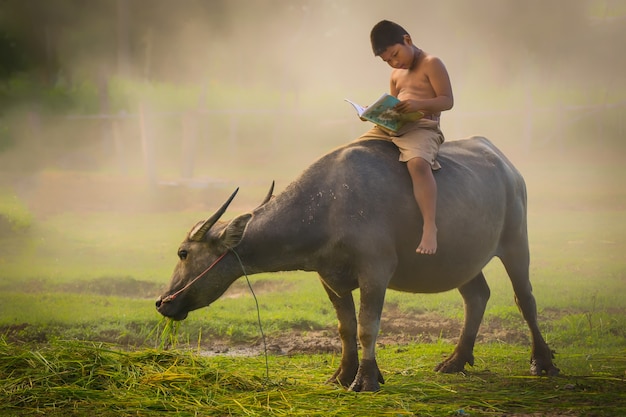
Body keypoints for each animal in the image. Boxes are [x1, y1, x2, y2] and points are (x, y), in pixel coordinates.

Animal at [155, 136, 556, 390]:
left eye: (183, 253)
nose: (162, 302)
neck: (327, 206)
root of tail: (507, 165)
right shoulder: (329, 277)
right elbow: (345, 328)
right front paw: (342, 376)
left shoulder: (375, 271)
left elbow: (367, 327)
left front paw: (367, 380)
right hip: (461, 259)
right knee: (477, 296)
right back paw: (456, 361)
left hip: (516, 242)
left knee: (525, 298)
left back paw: (543, 362)